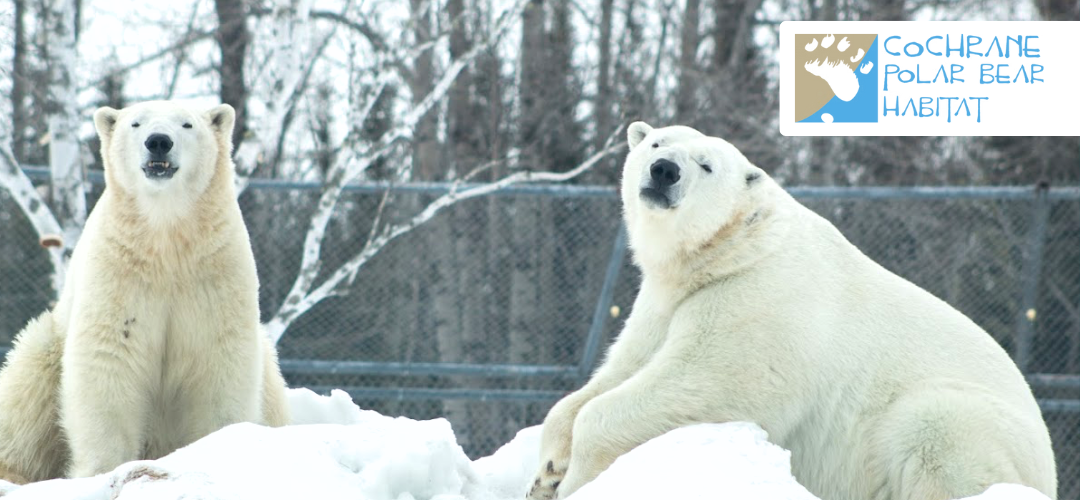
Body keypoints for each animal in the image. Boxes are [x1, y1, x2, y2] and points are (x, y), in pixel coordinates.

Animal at [0, 99, 289, 483]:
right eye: (135, 123)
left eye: (186, 124)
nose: (158, 142)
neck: (165, 241)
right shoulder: (118, 274)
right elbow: (110, 359)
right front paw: (103, 471)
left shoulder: (214, 274)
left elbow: (218, 361)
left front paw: (218, 451)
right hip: (47, 347)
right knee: (26, 394)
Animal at [527, 122, 1058, 500]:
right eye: (657, 142)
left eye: (706, 165)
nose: (663, 171)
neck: (736, 248)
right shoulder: (666, 302)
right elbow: (622, 368)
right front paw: (546, 471)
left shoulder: (754, 301)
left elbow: (704, 381)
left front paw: (577, 481)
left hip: (968, 425)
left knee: (933, 430)